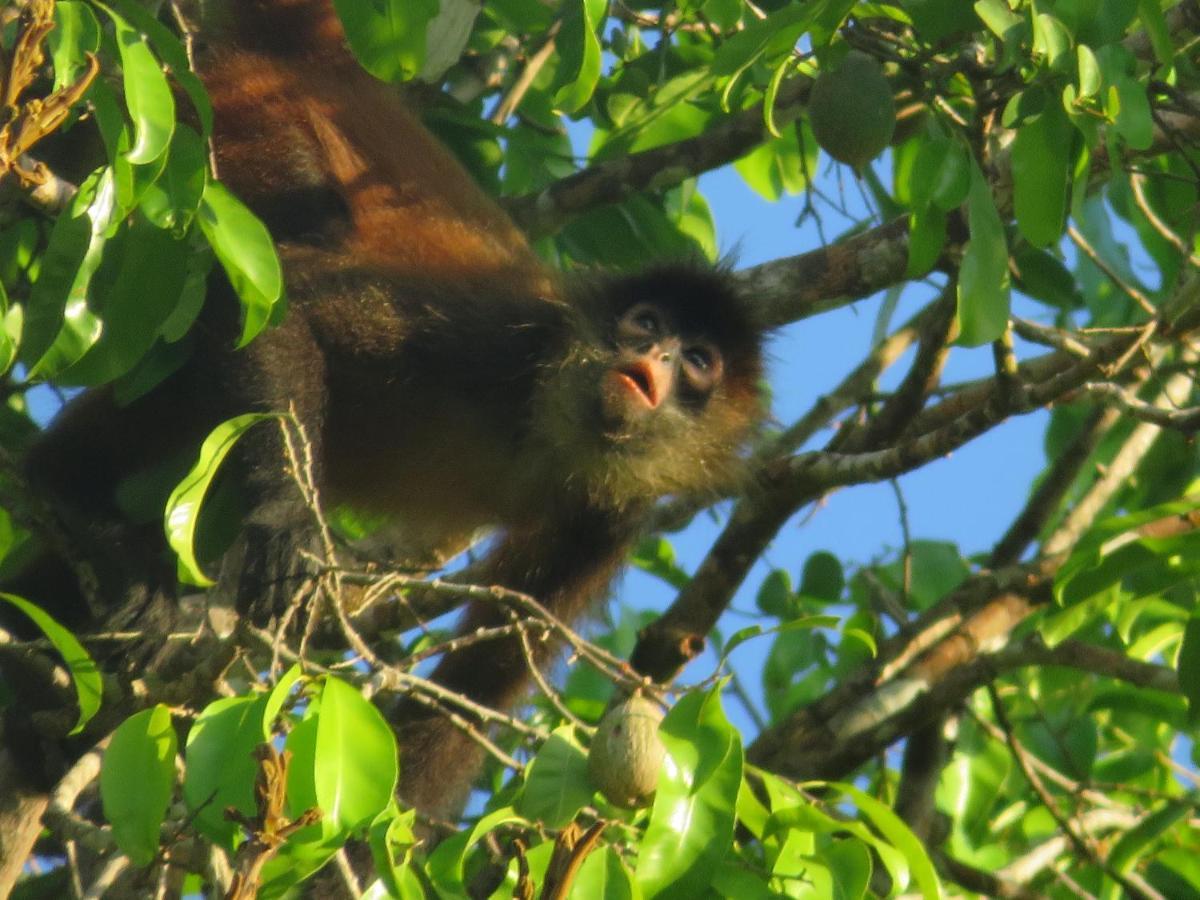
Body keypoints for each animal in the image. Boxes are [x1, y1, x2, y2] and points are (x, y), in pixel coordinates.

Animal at [9, 0, 763, 816]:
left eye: (699, 362)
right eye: (647, 323)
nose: (658, 357)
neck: (550, 434)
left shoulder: (609, 515)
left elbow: (483, 680)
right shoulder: (503, 337)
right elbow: (286, 308)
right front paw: (288, 520)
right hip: (223, 131)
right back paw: (72, 494)